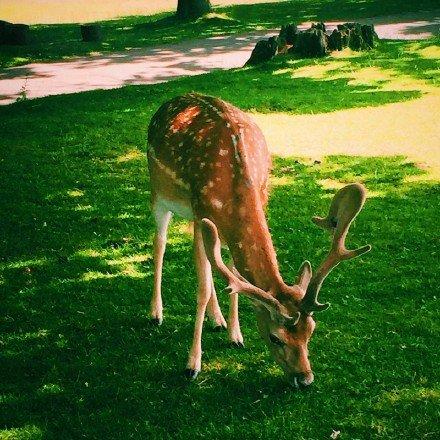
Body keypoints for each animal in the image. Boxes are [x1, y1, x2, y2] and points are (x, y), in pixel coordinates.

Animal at [146, 92, 370, 384]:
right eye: (275, 338)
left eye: (311, 330)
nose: (305, 379)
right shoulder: (200, 212)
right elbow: (202, 288)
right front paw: (192, 364)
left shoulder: (245, 208)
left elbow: (231, 274)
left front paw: (236, 336)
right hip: (159, 192)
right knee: (159, 243)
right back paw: (155, 313)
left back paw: (217, 320)